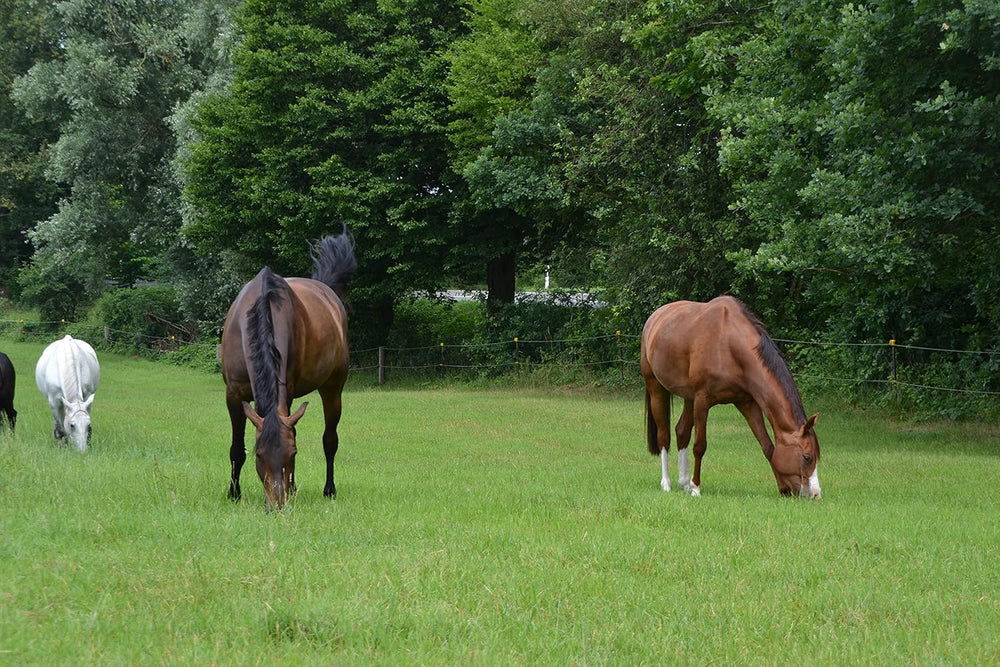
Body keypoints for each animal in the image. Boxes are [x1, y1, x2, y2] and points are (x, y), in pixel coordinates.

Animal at [221, 230, 357, 510]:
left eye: (292, 453)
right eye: (259, 454)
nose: (276, 504)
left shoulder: (289, 391)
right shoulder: (233, 395)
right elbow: (237, 449)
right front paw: (234, 493)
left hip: (333, 388)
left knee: (330, 440)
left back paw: (327, 490)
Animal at [641, 296, 821, 498]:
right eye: (807, 457)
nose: (816, 494)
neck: (729, 344)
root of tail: (654, 317)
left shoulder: (747, 403)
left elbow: (768, 447)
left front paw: (782, 488)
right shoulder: (702, 400)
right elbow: (699, 446)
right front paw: (696, 488)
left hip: (689, 398)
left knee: (681, 431)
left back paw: (684, 483)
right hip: (657, 388)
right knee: (664, 436)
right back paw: (667, 483)